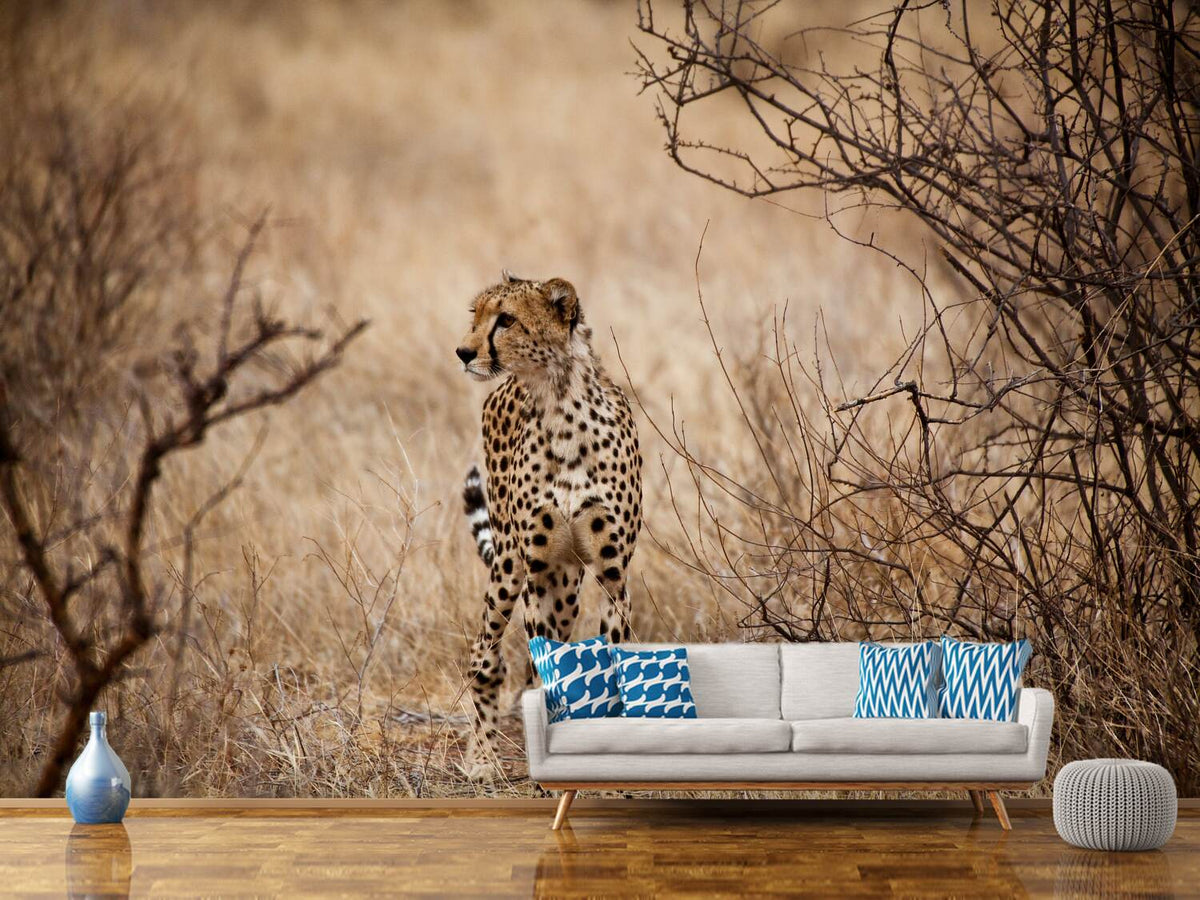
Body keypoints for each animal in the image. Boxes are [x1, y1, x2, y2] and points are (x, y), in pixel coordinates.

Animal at [455, 271, 642, 777]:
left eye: (506, 319)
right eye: (476, 315)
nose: (463, 352)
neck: (559, 402)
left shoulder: (613, 575)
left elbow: (609, 665)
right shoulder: (536, 573)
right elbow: (546, 675)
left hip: (567, 583)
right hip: (510, 569)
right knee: (485, 656)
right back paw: (481, 759)